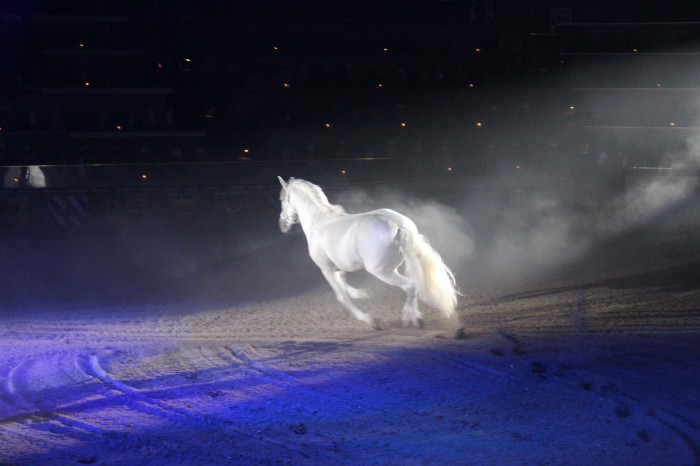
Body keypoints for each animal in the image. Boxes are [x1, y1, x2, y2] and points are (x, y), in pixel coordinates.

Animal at [278, 177, 460, 330]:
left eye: (281, 199)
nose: (282, 225)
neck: (319, 222)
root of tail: (398, 225)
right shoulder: (347, 265)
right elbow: (343, 279)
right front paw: (361, 294)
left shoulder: (326, 269)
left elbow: (342, 297)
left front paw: (371, 320)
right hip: (391, 268)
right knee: (413, 286)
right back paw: (415, 318)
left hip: (381, 271)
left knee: (410, 286)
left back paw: (410, 319)